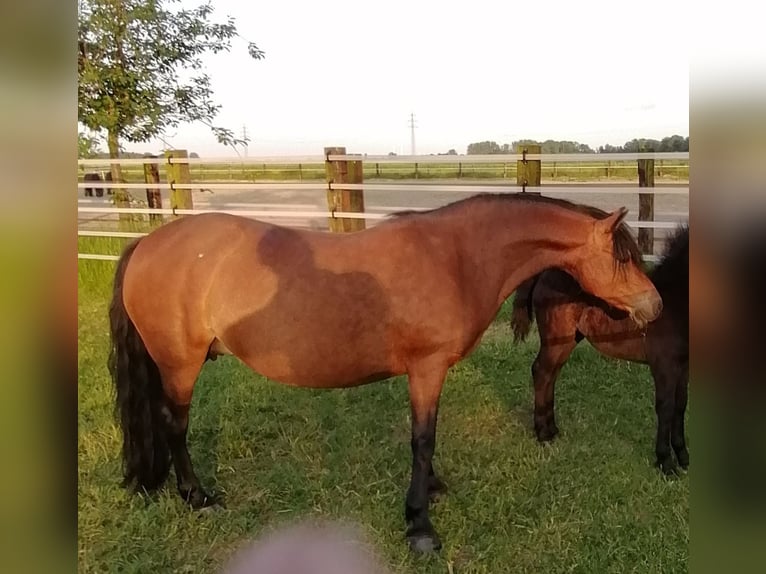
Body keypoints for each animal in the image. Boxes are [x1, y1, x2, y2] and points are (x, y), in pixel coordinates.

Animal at [109, 194, 664, 552]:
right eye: (623, 258)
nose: (655, 306)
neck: (456, 257)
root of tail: (146, 243)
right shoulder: (427, 368)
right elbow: (423, 438)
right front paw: (420, 525)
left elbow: (425, 437)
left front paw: (433, 490)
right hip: (179, 365)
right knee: (176, 426)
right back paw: (197, 497)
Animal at [512, 223, 692, 474]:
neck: (674, 304)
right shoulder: (663, 366)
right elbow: (666, 408)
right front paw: (666, 463)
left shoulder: (683, 367)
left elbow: (680, 407)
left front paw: (683, 458)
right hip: (557, 338)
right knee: (541, 372)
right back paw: (543, 433)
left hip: (567, 341)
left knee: (550, 374)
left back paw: (552, 429)